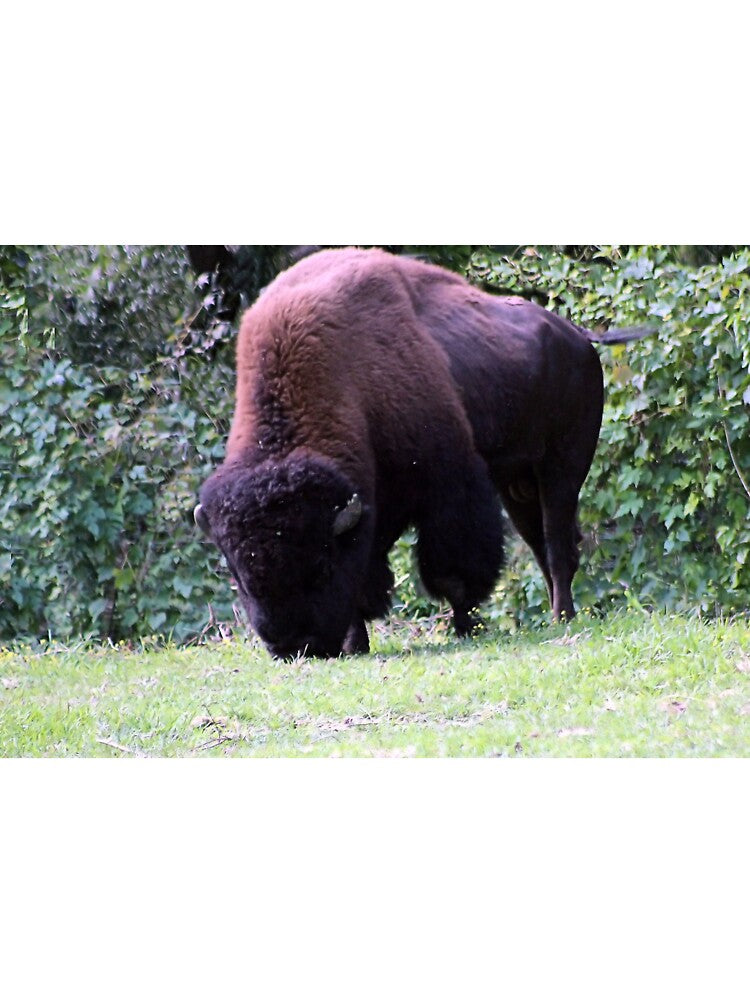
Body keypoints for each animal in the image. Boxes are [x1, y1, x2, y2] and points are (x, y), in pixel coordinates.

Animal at [195, 248, 649, 658]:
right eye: (239, 575)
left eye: (320, 567)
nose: (291, 646)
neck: (348, 381)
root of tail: (577, 336)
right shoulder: (374, 513)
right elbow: (365, 579)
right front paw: (357, 644)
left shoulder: (447, 487)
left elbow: (452, 570)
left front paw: (467, 629)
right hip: (517, 485)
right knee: (541, 544)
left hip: (561, 468)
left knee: (557, 548)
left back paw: (562, 618)